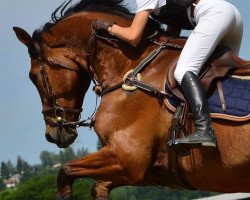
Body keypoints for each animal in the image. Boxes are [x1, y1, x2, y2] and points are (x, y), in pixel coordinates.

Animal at [14, 0, 250, 199]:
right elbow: (98, 186)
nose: (52, 134)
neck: (130, 66)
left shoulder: (128, 158)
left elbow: (65, 171)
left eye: (33, 77)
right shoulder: (145, 171)